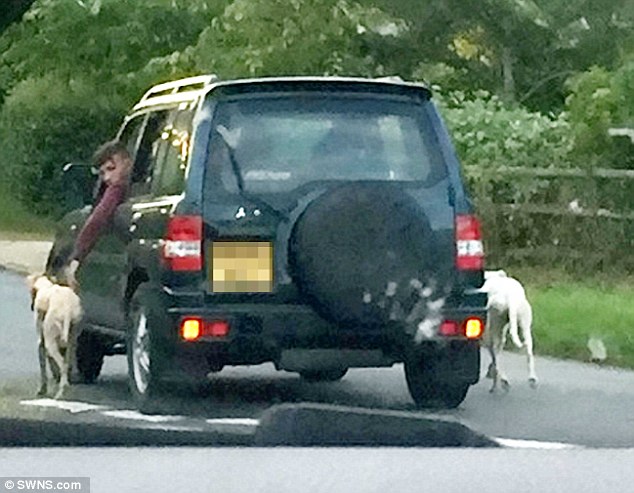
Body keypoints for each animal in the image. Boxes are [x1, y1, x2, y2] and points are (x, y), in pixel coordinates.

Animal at [26, 272, 82, 400]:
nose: (31, 306)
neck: (47, 287)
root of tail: (67, 310)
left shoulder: (41, 343)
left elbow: (43, 369)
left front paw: (42, 390)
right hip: (72, 340)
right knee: (68, 364)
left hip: (50, 342)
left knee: (63, 365)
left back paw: (60, 393)